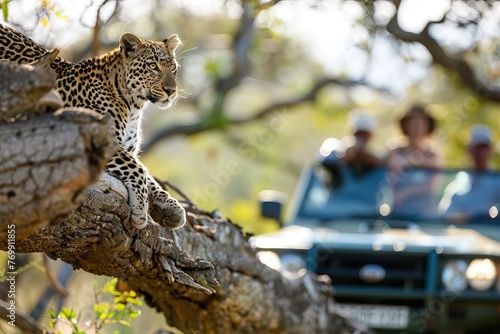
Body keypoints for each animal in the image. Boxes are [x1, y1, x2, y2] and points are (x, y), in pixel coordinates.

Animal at [0, 23, 186, 231]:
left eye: (173, 68)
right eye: (153, 66)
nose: (171, 91)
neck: (134, 107)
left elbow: (147, 174)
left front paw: (170, 206)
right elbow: (137, 168)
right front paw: (140, 208)